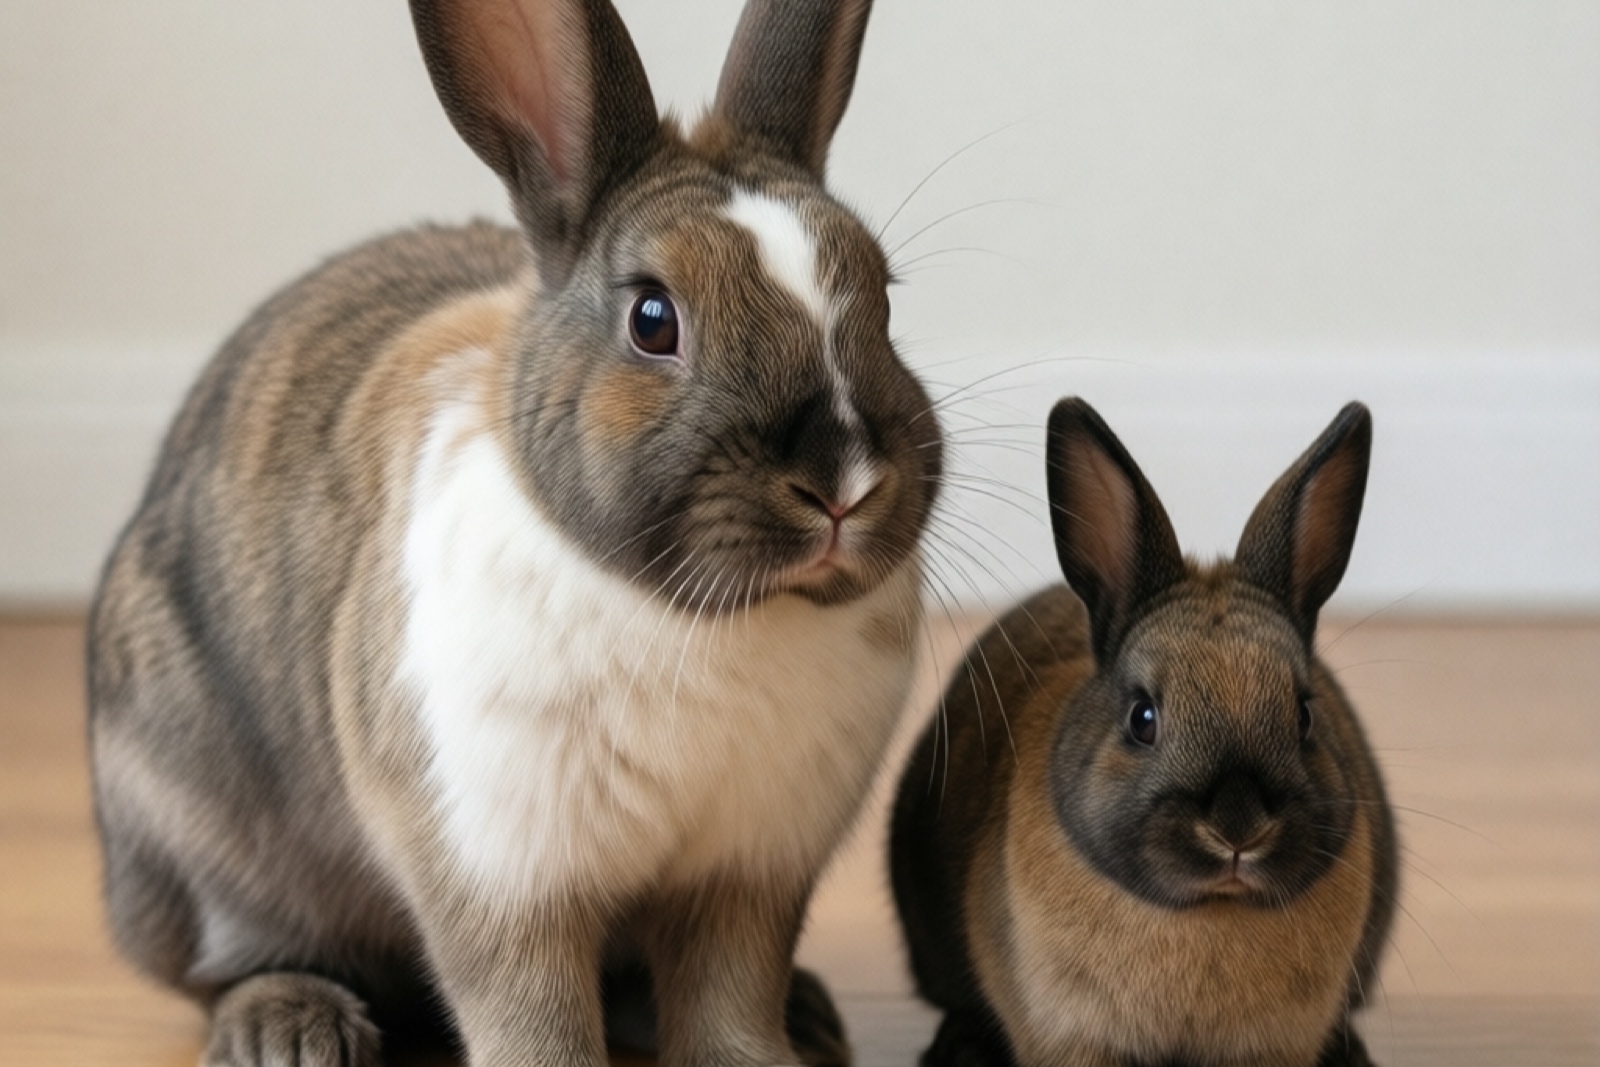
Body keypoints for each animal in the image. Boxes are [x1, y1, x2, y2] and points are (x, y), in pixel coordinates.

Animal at [85, 1, 943, 1065]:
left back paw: (813, 1015)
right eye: (653, 319)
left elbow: (727, 995)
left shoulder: (748, 872)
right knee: (229, 962)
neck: (706, 614)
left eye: (886, 299)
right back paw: (292, 1028)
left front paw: (760, 1054)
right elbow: (528, 1003)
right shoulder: (493, 862)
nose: (844, 484)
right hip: (197, 838)